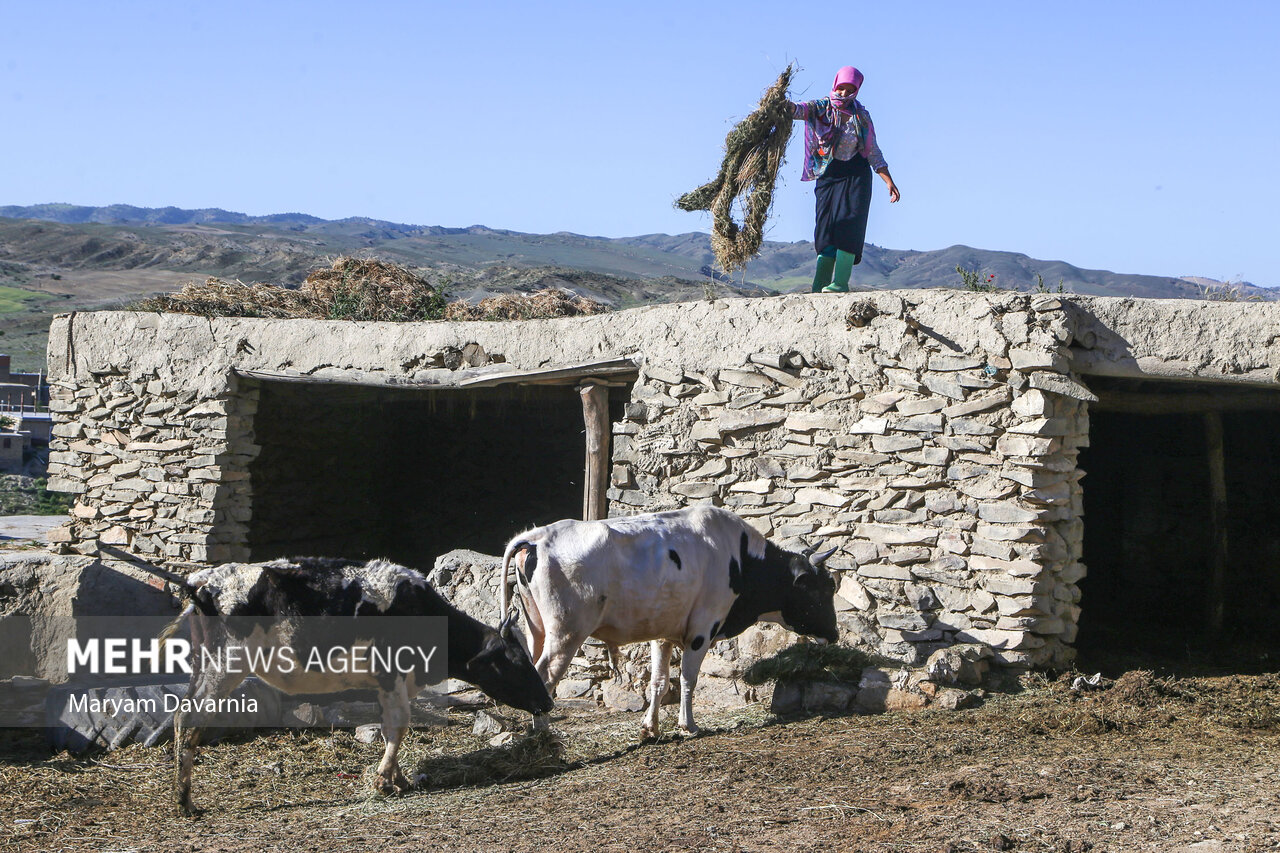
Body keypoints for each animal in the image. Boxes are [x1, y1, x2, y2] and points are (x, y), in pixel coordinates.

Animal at [167, 555, 552, 814]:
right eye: (516, 663)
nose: (547, 703)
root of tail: (202, 581)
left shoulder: (393, 685)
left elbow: (390, 728)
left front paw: (399, 779)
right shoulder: (392, 675)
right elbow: (398, 726)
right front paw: (385, 781)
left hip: (206, 666)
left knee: (181, 715)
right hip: (224, 665)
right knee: (190, 718)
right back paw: (185, 801)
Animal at [499, 504, 839, 737]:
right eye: (822, 590)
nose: (834, 634)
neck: (739, 558)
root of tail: (537, 536)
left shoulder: (662, 632)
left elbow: (659, 682)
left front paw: (651, 727)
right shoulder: (702, 629)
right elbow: (688, 679)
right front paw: (688, 725)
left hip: (537, 629)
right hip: (566, 634)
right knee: (545, 676)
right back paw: (544, 734)